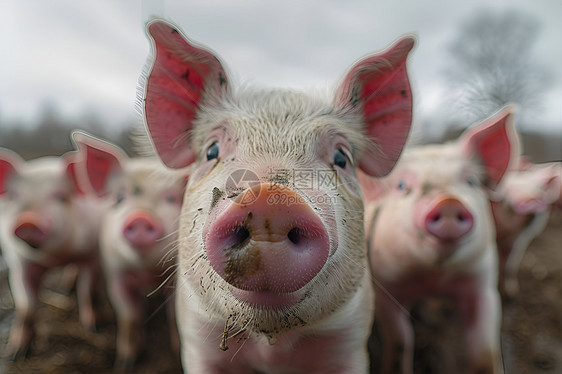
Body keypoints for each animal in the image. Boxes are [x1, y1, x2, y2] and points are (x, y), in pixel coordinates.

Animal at [0, 148, 104, 358]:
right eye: (14, 196)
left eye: (61, 197)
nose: (28, 220)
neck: (55, 258)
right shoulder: (19, 264)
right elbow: (26, 307)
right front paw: (15, 354)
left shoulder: (93, 255)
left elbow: (88, 290)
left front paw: (95, 328)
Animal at [71, 132, 186, 372]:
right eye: (119, 198)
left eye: (171, 199)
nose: (140, 217)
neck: (146, 271)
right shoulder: (115, 274)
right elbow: (129, 316)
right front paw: (125, 363)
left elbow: (174, 316)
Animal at [138, 19, 414, 374]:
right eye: (211, 150)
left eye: (342, 158)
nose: (269, 199)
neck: (272, 348)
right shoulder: (198, 337)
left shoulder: (350, 339)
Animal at [360, 105, 520, 374]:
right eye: (401, 186)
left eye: (471, 181)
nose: (448, 202)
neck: (434, 277)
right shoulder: (385, 289)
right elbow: (401, 338)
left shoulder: (483, 286)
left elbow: (484, 351)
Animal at [490, 159, 560, 296]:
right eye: (505, 194)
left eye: (539, 190)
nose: (529, 198)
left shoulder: (521, 237)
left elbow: (510, 263)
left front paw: (511, 292)